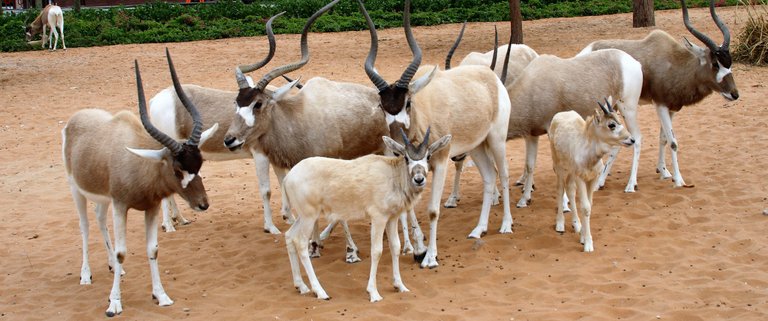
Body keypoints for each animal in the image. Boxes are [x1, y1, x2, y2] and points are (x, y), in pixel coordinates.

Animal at [62, 51, 216, 316]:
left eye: (199, 164)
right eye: (177, 169)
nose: (202, 204)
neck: (140, 164)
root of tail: (75, 118)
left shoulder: (150, 208)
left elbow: (152, 249)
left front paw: (161, 295)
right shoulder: (121, 205)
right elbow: (122, 252)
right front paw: (114, 304)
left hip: (104, 199)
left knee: (99, 218)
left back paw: (115, 268)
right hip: (76, 190)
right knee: (85, 225)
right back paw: (85, 275)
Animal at [284, 127, 450, 300]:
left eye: (428, 156)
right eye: (406, 157)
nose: (419, 179)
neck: (393, 174)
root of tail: (288, 178)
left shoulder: (392, 218)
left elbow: (395, 247)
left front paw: (400, 286)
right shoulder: (378, 218)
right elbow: (376, 251)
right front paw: (374, 293)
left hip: (303, 217)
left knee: (289, 236)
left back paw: (301, 286)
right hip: (309, 217)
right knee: (300, 242)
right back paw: (321, 292)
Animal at [358, 0, 510, 266]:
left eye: (408, 102)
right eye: (382, 106)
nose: (397, 144)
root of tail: (491, 78)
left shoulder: (440, 162)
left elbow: (432, 210)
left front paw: (430, 257)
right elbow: (408, 207)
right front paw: (418, 248)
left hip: (497, 140)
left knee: (504, 174)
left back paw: (506, 225)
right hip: (477, 146)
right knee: (490, 177)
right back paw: (478, 229)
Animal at [548, 99, 632, 251]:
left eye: (620, 120)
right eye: (611, 125)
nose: (631, 140)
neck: (587, 154)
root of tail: (560, 115)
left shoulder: (593, 178)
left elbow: (589, 204)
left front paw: (582, 236)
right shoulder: (580, 178)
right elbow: (585, 207)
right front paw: (588, 243)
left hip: (571, 172)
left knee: (570, 190)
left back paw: (576, 224)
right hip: (559, 166)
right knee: (560, 189)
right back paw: (560, 224)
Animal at [584, 0, 736, 188]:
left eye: (730, 62)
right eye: (715, 64)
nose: (734, 94)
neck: (674, 62)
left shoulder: (672, 108)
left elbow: (663, 138)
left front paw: (663, 171)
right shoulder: (660, 105)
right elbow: (673, 142)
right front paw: (678, 180)